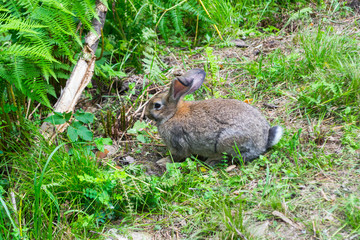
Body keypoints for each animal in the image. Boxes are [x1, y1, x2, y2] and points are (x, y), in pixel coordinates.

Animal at [145, 68, 282, 164]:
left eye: (157, 105)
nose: (146, 113)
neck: (172, 114)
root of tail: (263, 142)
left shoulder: (178, 143)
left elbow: (177, 157)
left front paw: (162, 162)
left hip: (225, 141)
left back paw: (211, 161)